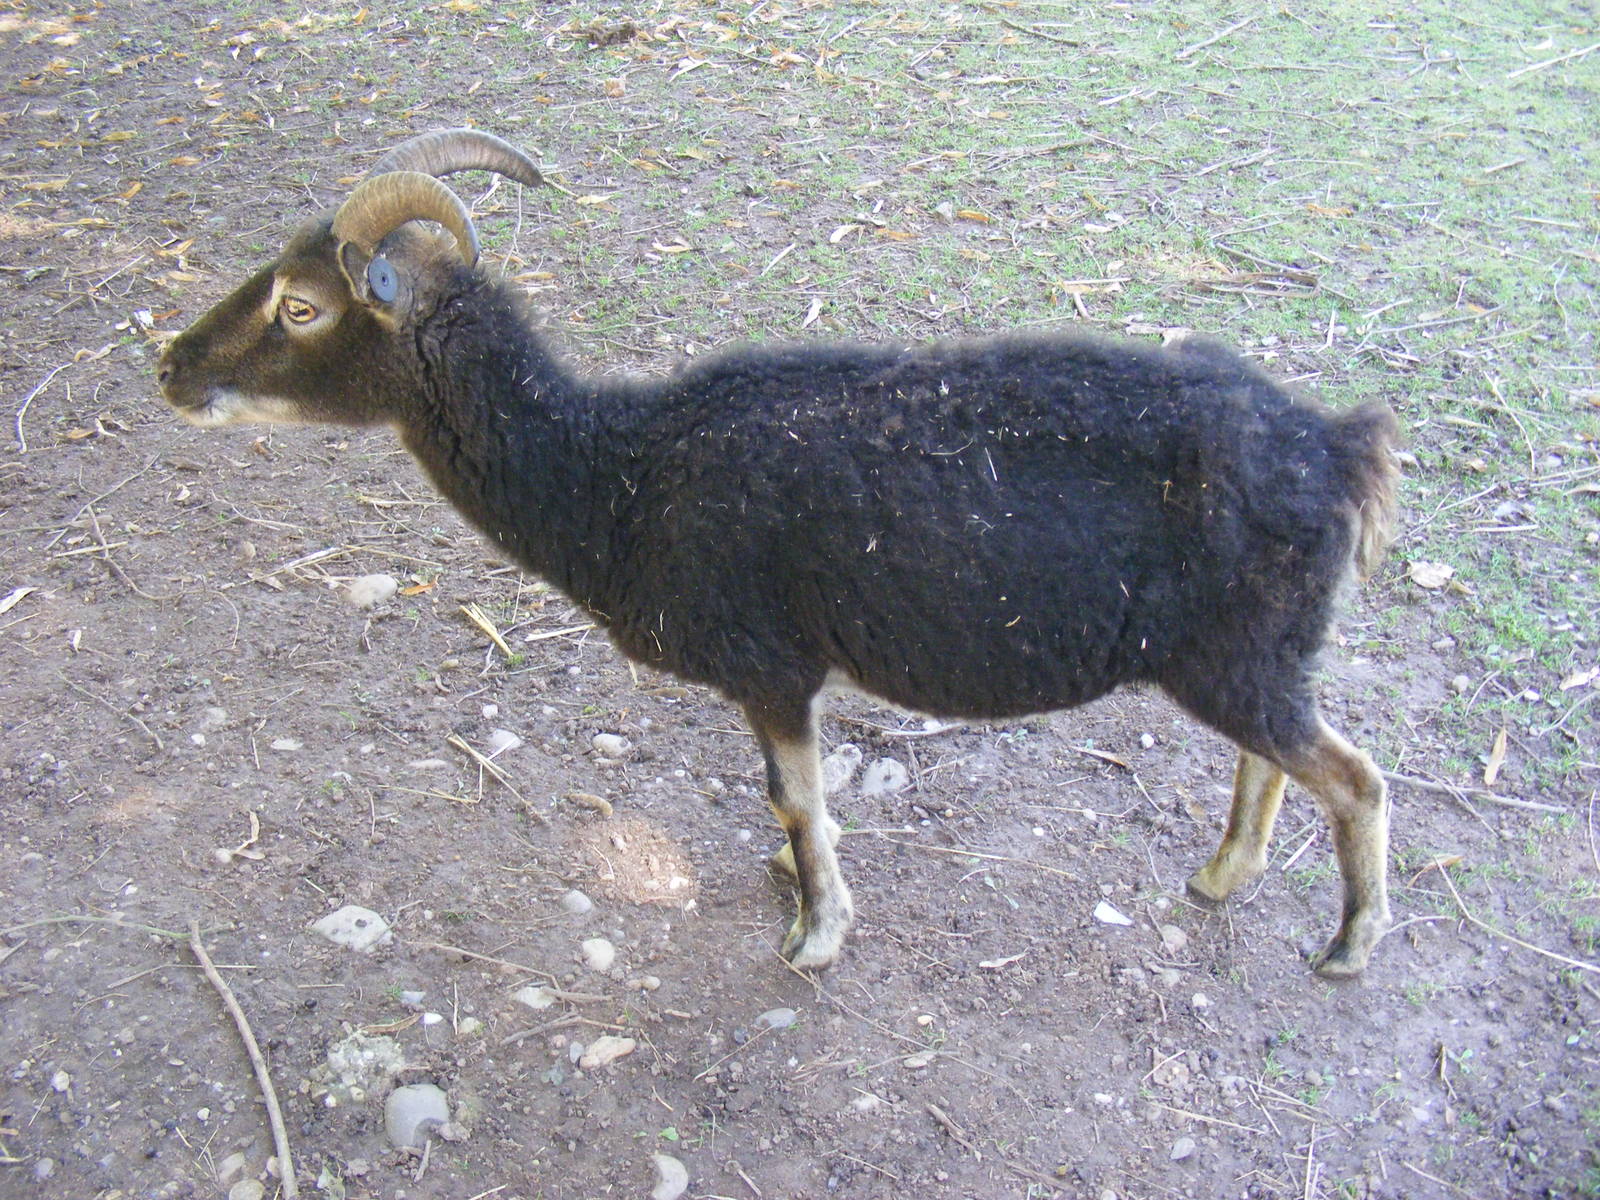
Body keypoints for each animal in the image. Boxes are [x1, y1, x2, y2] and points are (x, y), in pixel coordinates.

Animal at [158, 129, 1401, 978]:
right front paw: (796, 888)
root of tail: (1339, 449)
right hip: (1248, 660)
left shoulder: (771, 665)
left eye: (303, 308)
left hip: (1236, 657)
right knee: (1275, 759)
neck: (620, 474)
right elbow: (787, 802)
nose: (170, 366)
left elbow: (795, 798)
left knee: (1353, 776)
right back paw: (1220, 876)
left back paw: (1347, 946)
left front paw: (815, 930)